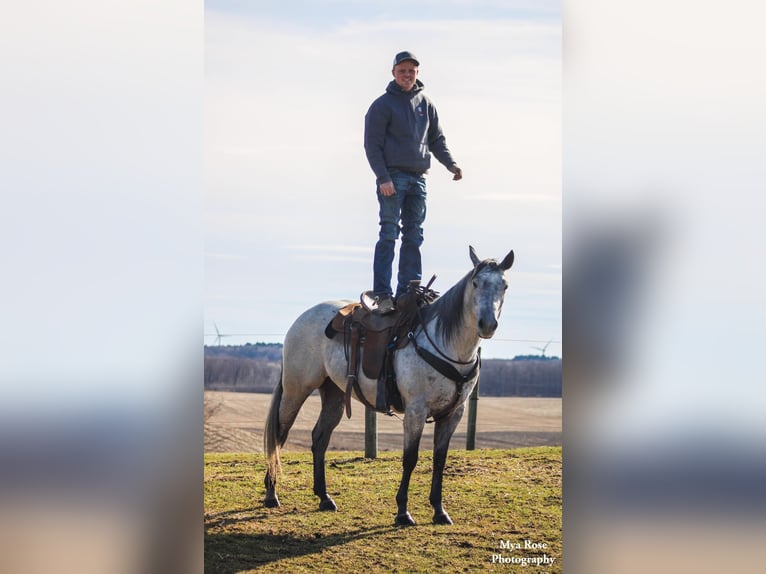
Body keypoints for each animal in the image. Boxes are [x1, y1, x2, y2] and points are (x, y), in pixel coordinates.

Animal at [264, 246, 516, 528]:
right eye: (475, 283)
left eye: (504, 285)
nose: (487, 324)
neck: (447, 345)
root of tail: (302, 318)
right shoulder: (416, 410)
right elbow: (410, 458)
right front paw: (403, 512)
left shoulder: (454, 413)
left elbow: (440, 460)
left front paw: (439, 510)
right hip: (296, 389)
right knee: (279, 434)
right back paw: (271, 494)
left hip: (334, 394)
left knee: (319, 438)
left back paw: (324, 497)